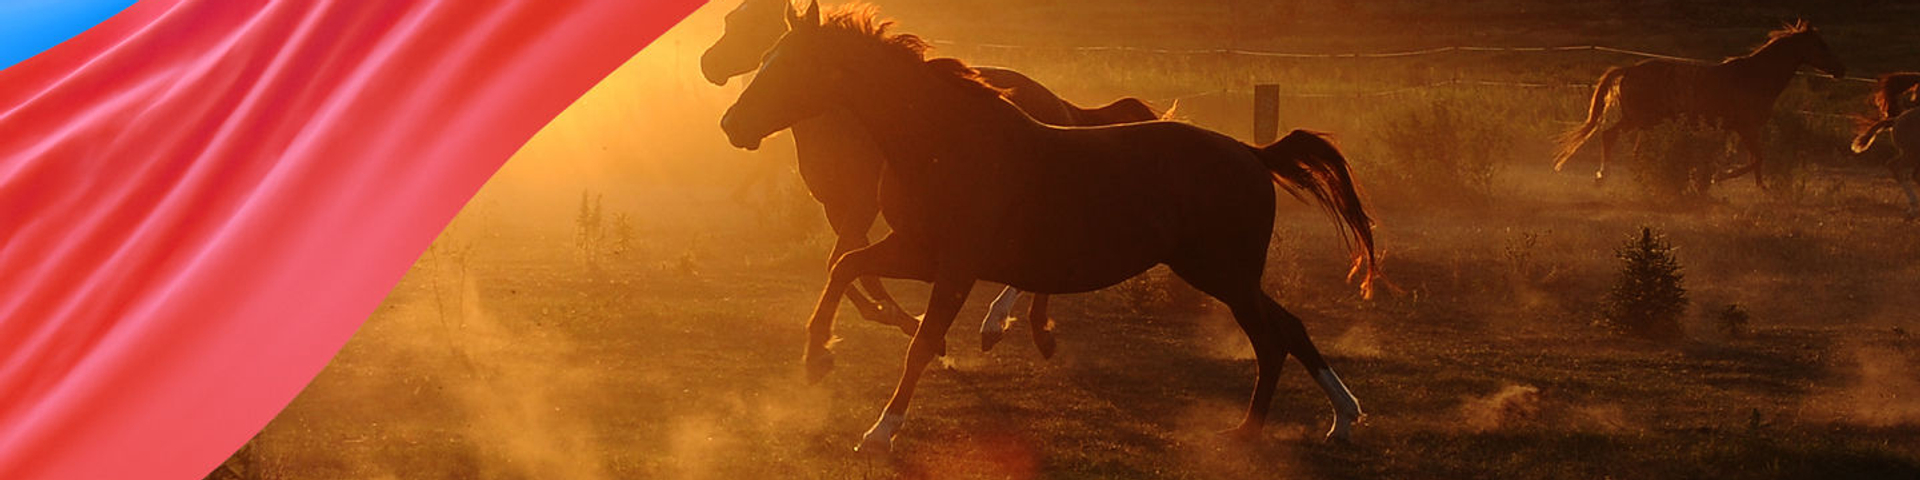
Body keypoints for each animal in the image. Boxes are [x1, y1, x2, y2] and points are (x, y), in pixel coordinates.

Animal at [702, 0, 1159, 353]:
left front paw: (904, 323)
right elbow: (850, 266)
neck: (844, 122)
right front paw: (893, 318)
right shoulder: (838, 206)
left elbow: (842, 262)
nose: (708, 66)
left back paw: (1000, 324)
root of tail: (1058, 102)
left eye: (745, 26)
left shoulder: (862, 204)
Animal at [1551, 22, 1850, 187]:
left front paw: (1760, 188)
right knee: (1609, 136)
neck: (1754, 77)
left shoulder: (1744, 129)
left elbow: (1756, 161)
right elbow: (1756, 159)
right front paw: (1720, 176)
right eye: (1821, 45)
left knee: (1629, 147)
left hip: (1644, 122)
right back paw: (1603, 176)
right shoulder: (1746, 127)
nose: (1841, 69)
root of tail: (1629, 69)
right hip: (1641, 119)